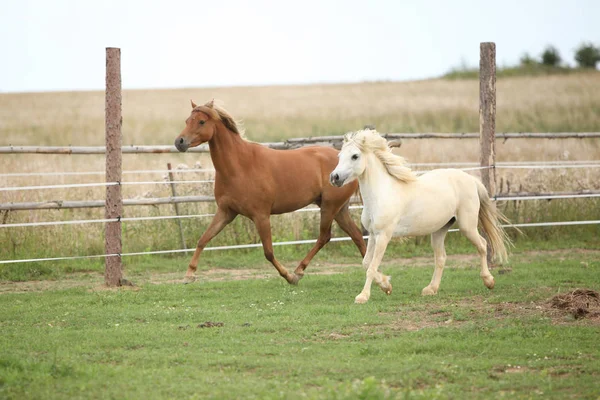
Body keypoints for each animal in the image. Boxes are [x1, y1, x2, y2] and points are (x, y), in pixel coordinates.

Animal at [171, 100, 364, 282]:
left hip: (329, 207)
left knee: (325, 237)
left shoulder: (261, 216)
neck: (240, 166)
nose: (179, 142)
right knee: (357, 236)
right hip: (339, 209)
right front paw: (189, 274)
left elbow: (268, 252)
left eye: (201, 121)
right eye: (187, 120)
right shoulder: (226, 212)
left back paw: (299, 271)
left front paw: (289, 277)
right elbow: (203, 239)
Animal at [328, 130, 510, 304]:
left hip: (467, 226)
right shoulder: (373, 235)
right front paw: (386, 285)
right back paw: (431, 289)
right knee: (441, 258)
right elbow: (366, 263)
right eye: (339, 156)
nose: (334, 177)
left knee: (482, 245)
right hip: (440, 229)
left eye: (355, 156)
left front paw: (363, 296)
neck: (382, 194)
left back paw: (489, 281)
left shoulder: (384, 236)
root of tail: (471, 179)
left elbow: (372, 267)